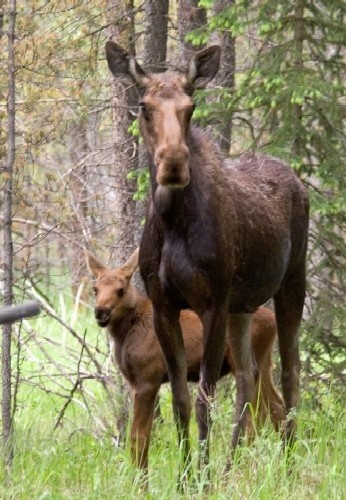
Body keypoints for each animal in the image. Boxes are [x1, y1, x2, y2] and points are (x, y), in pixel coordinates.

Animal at [84, 249, 284, 472]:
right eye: (95, 288)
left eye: (120, 289)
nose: (101, 312)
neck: (125, 335)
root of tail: (272, 321)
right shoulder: (136, 380)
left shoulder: (147, 378)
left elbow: (138, 438)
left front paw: (141, 480)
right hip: (265, 363)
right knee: (278, 408)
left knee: (259, 416)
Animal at [104, 42, 308, 476]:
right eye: (144, 105)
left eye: (190, 106)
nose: (173, 162)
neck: (174, 223)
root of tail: (297, 180)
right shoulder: (166, 304)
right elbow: (181, 400)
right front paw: (186, 476)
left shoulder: (212, 302)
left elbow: (204, 399)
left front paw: (203, 478)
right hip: (242, 305)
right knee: (248, 378)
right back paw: (231, 468)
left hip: (290, 284)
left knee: (289, 372)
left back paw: (287, 467)